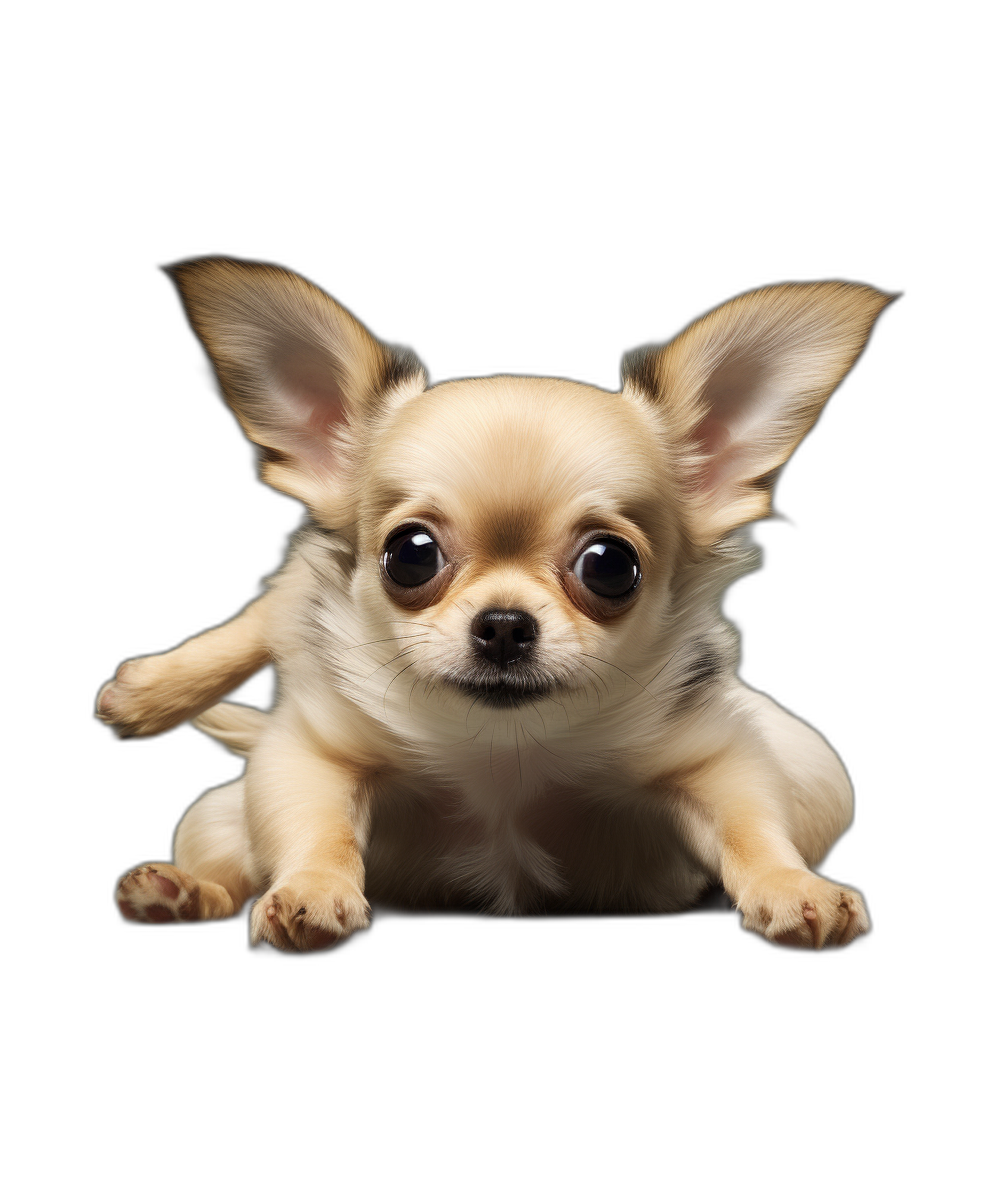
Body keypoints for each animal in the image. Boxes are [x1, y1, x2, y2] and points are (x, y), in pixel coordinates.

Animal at [100, 259, 890, 951]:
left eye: (611, 566)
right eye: (411, 554)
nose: (505, 625)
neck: (504, 746)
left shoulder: (717, 761)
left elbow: (750, 823)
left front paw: (793, 887)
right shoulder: (310, 755)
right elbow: (315, 824)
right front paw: (311, 891)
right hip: (215, 815)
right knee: (230, 850)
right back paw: (176, 879)